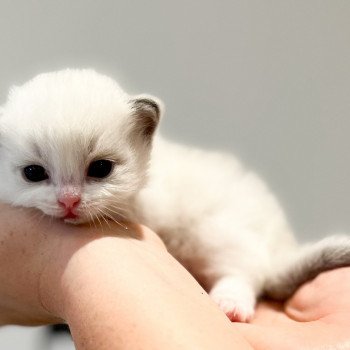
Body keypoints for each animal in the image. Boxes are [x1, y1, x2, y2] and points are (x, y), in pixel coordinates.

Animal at [0, 69, 350, 322]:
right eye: (33, 173)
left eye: (100, 168)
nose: (69, 201)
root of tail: (281, 245)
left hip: (216, 232)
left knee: (248, 271)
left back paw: (231, 302)